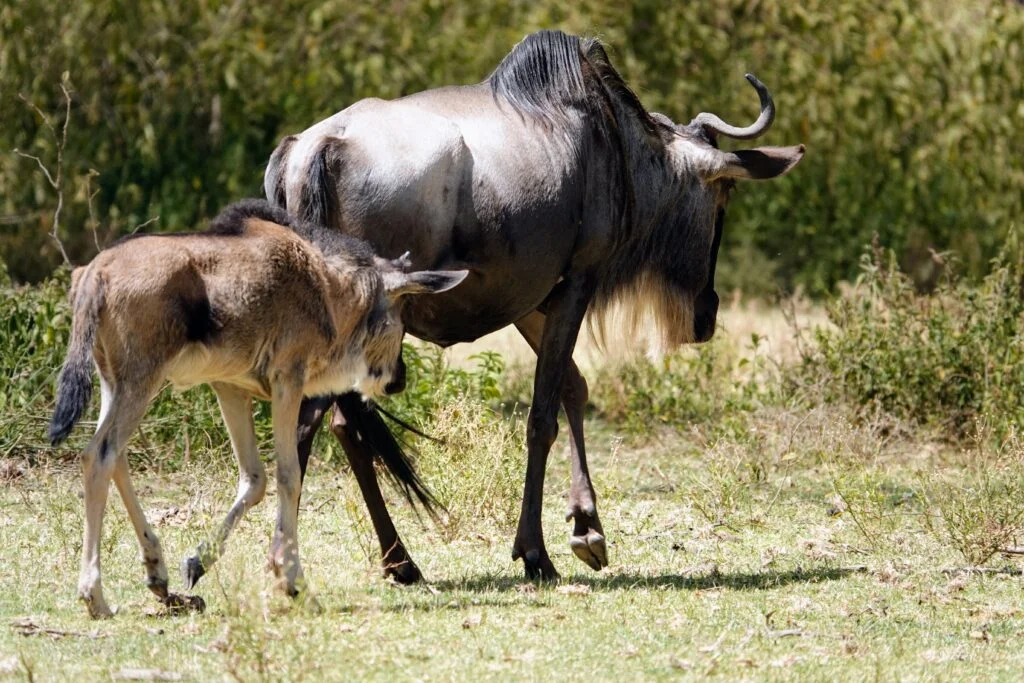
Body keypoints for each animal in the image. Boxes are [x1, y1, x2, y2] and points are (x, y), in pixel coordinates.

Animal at [47, 198, 464, 618]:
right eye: (401, 316)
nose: (399, 379)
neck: (325, 284)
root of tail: (95, 272)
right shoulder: (287, 382)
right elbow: (288, 476)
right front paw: (293, 580)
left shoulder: (230, 387)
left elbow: (255, 479)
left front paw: (198, 561)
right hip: (140, 381)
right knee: (99, 455)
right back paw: (95, 595)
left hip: (113, 384)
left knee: (116, 458)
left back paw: (158, 574)